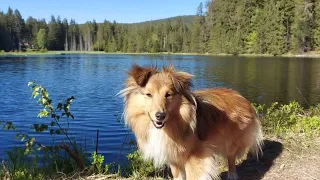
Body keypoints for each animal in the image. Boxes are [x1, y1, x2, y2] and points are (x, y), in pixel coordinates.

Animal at [119, 64, 264, 179]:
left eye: (168, 94)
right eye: (148, 94)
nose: (160, 116)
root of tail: (240, 96)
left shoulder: (195, 156)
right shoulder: (173, 157)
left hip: (230, 141)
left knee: (231, 158)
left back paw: (232, 175)